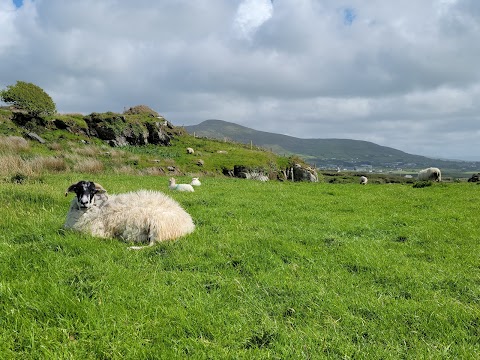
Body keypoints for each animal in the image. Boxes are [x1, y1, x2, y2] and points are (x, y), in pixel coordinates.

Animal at [63, 180, 195, 250]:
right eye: (77, 190)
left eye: (92, 191)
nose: (84, 202)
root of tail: (188, 223)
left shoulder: (94, 231)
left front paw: (108, 237)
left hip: (157, 225)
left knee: (153, 244)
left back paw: (129, 246)